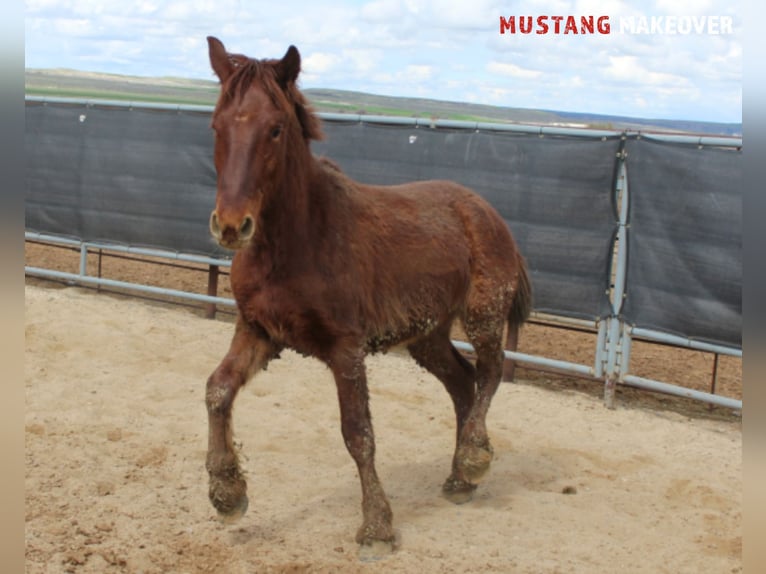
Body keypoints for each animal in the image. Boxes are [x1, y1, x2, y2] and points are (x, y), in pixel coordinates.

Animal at [204, 37, 536, 560]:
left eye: (275, 129)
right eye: (216, 125)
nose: (233, 225)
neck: (298, 240)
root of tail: (484, 210)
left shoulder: (346, 348)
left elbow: (358, 434)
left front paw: (376, 528)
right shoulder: (257, 330)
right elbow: (217, 389)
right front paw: (227, 494)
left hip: (484, 315)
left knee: (490, 372)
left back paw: (473, 457)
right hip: (426, 336)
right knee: (463, 384)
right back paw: (459, 479)